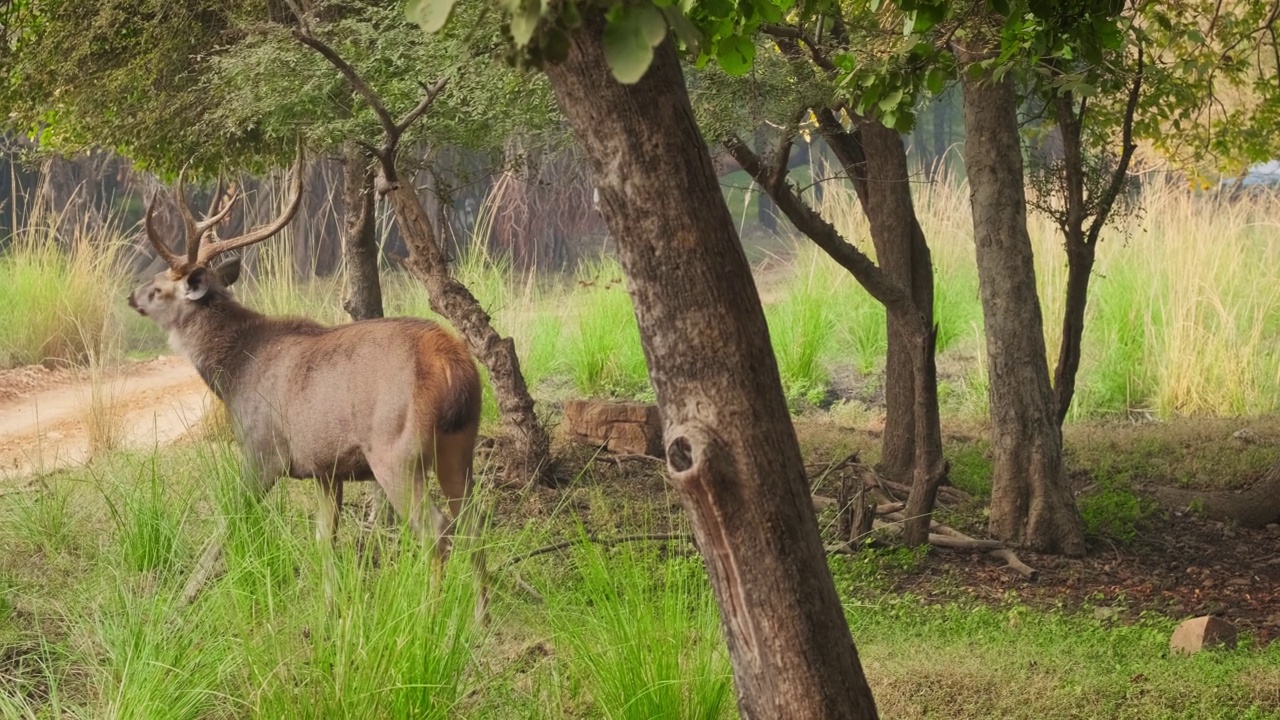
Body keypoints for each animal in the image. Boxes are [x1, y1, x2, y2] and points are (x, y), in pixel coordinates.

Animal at [128, 148, 483, 602]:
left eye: (158, 289)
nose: (132, 294)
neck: (235, 373)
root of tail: (453, 365)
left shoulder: (263, 449)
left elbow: (229, 522)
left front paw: (183, 597)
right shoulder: (325, 468)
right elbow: (324, 539)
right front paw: (331, 605)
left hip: (397, 448)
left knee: (437, 529)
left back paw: (429, 612)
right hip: (460, 442)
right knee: (473, 525)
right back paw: (478, 615)